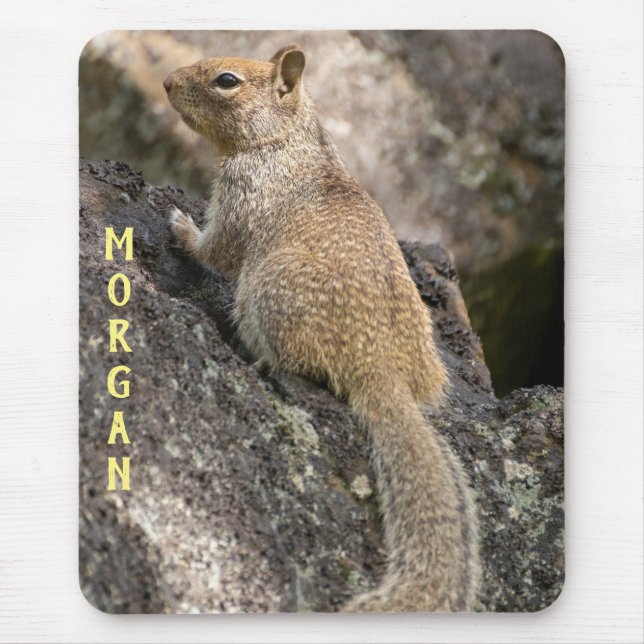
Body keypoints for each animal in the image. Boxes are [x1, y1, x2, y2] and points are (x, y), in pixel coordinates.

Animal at [163, 45, 480, 612]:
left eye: (227, 81)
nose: (166, 84)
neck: (291, 140)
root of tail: (380, 371)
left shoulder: (241, 195)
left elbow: (216, 250)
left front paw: (181, 227)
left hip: (265, 291)